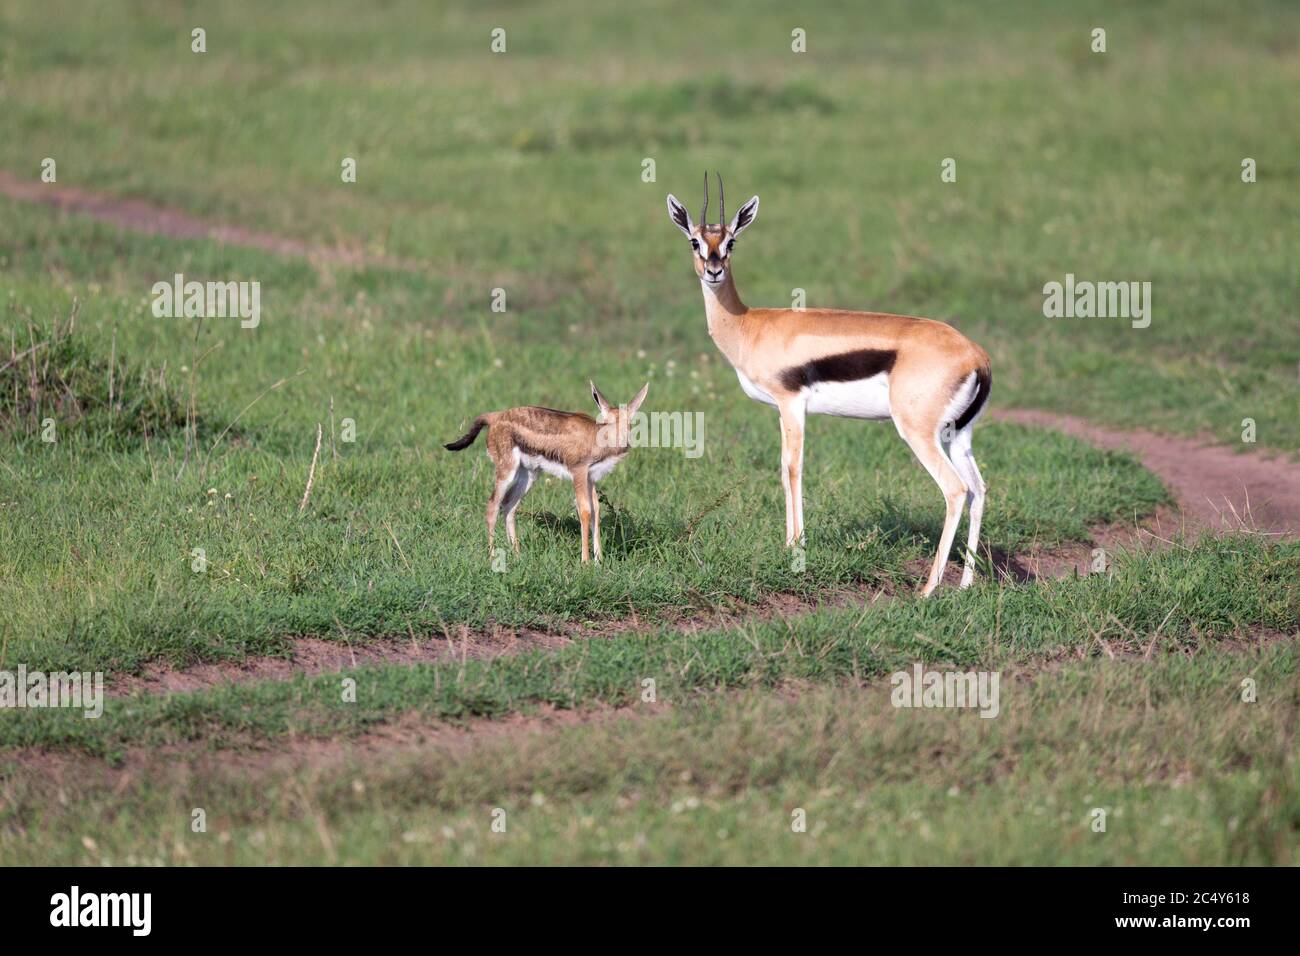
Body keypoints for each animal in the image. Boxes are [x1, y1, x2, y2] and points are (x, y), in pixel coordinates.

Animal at [444, 382, 649, 562]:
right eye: (608, 421)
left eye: (630, 421)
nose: (624, 441)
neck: (596, 437)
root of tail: (494, 417)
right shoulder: (578, 473)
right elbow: (584, 510)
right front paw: (585, 562)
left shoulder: (591, 478)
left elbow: (596, 510)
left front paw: (600, 561)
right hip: (506, 471)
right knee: (493, 504)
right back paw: (493, 556)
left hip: (528, 475)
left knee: (509, 505)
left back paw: (517, 555)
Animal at [667, 174, 992, 595]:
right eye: (695, 240)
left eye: (731, 241)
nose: (713, 269)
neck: (749, 325)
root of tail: (975, 355)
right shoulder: (782, 409)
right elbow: (783, 468)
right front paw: (788, 543)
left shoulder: (791, 403)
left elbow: (793, 467)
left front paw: (795, 547)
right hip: (958, 434)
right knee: (979, 489)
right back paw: (965, 584)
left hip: (919, 433)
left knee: (955, 490)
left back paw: (927, 590)